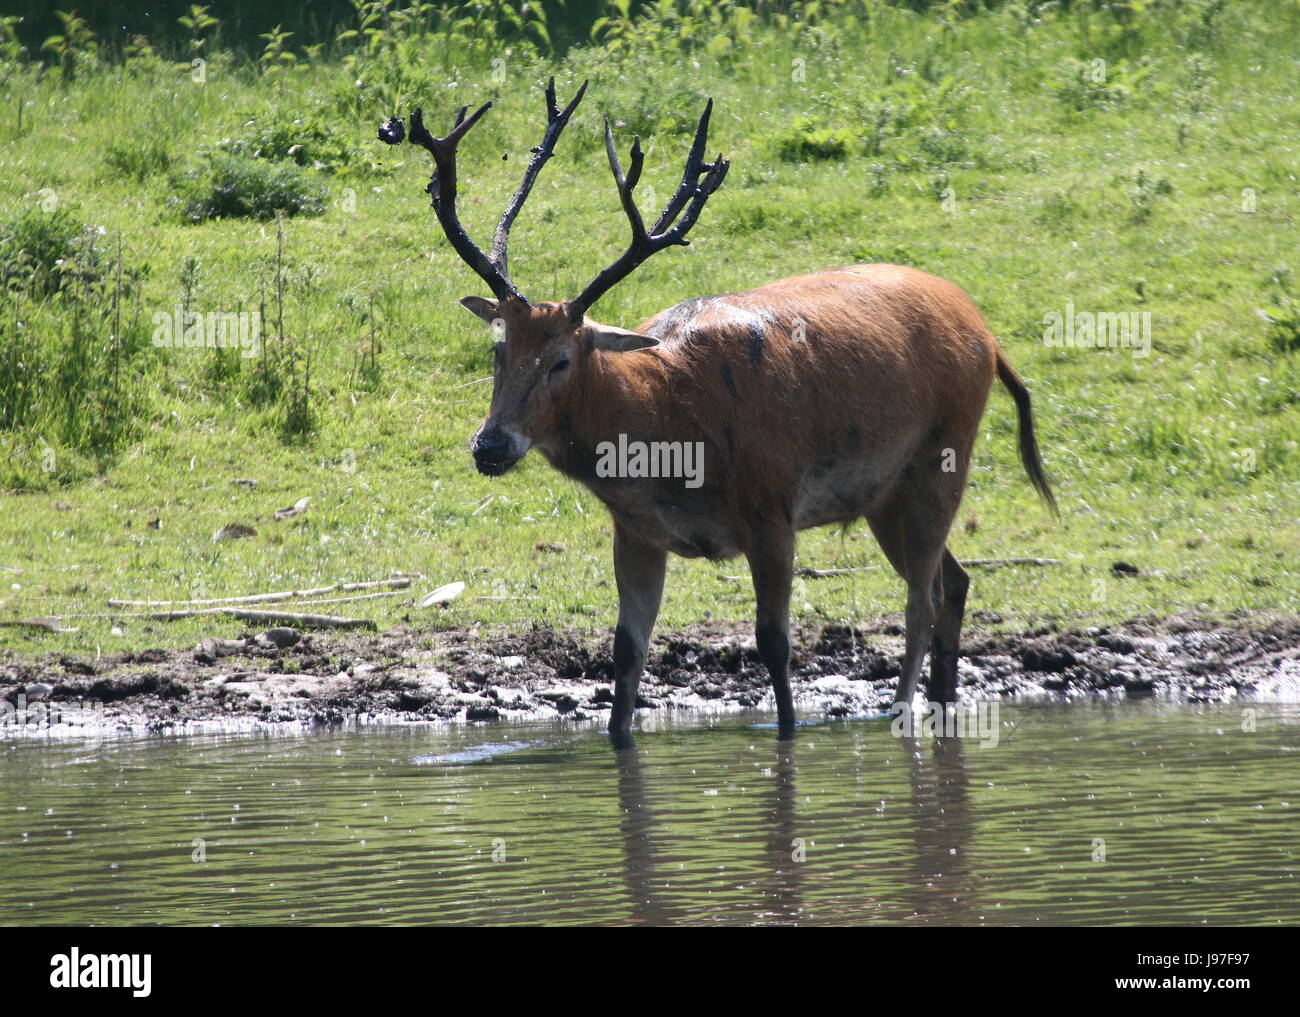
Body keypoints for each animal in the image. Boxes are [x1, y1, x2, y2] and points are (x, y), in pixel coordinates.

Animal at [377, 79, 1055, 749]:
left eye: (561, 360)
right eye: (498, 348)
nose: (490, 445)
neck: (667, 438)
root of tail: (988, 334)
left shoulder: (772, 509)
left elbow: (774, 644)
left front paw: (787, 733)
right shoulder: (636, 532)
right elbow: (626, 651)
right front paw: (618, 737)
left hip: (944, 452)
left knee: (922, 601)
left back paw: (906, 713)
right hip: (886, 494)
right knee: (955, 582)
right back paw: (943, 702)